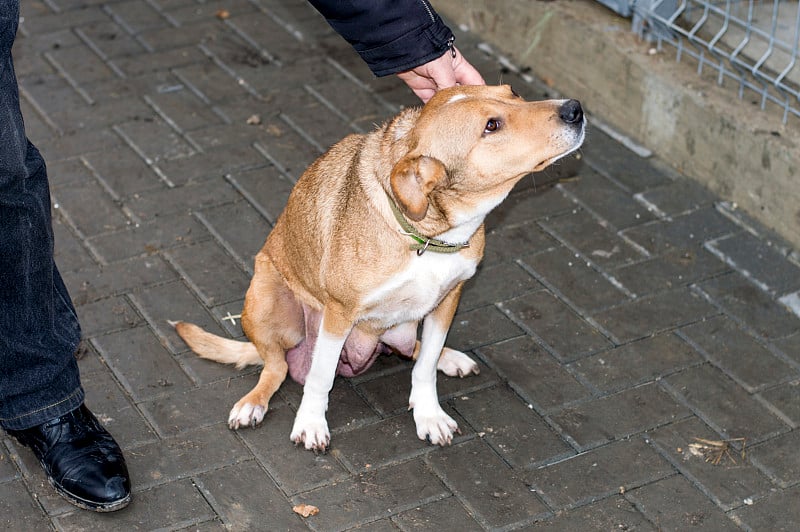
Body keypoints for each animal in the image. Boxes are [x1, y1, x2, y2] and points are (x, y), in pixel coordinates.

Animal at [172, 85, 584, 450]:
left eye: (513, 93)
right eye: (491, 125)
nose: (575, 109)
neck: (425, 238)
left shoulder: (448, 300)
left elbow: (425, 364)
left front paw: (429, 412)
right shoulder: (339, 313)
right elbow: (320, 377)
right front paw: (311, 423)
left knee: (412, 349)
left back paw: (450, 359)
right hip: (268, 300)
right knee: (277, 368)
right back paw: (253, 403)